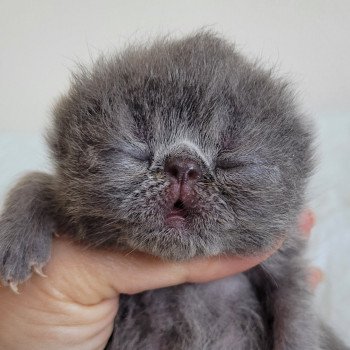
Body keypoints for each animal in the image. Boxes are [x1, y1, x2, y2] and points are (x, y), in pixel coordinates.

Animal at [0, 31, 348, 348]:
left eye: (231, 162)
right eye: (136, 152)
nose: (184, 166)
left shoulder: (286, 271)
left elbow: (297, 324)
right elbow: (43, 183)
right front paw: (17, 239)